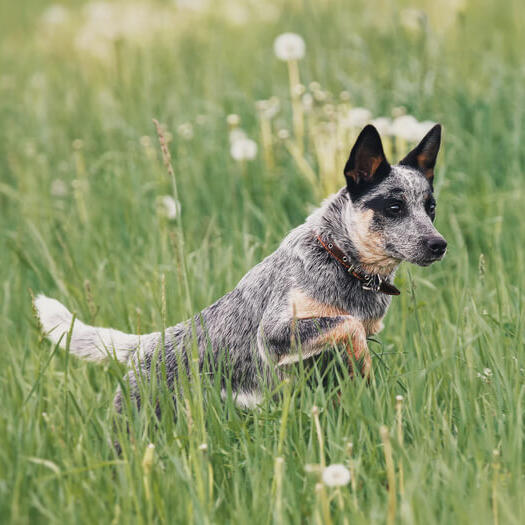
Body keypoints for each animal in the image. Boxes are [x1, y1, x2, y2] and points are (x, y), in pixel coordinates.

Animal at [34, 124, 446, 414]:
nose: (439, 244)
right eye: (393, 207)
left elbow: (351, 331)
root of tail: (145, 346)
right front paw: (363, 366)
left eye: (430, 208)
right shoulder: (275, 334)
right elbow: (348, 326)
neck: (340, 262)